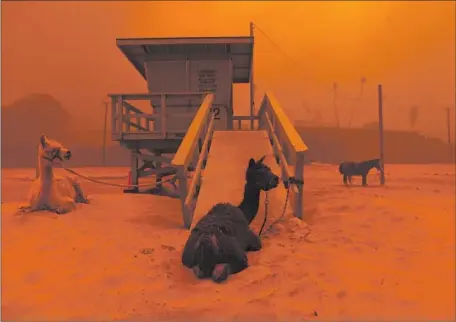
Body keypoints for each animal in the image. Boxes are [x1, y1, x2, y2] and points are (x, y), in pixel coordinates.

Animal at [181, 155, 280, 284]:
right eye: (259, 172)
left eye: (269, 168)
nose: (276, 179)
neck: (245, 214)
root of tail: (205, 242)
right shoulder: (255, 241)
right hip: (237, 256)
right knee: (221, 272)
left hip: (188, 260)